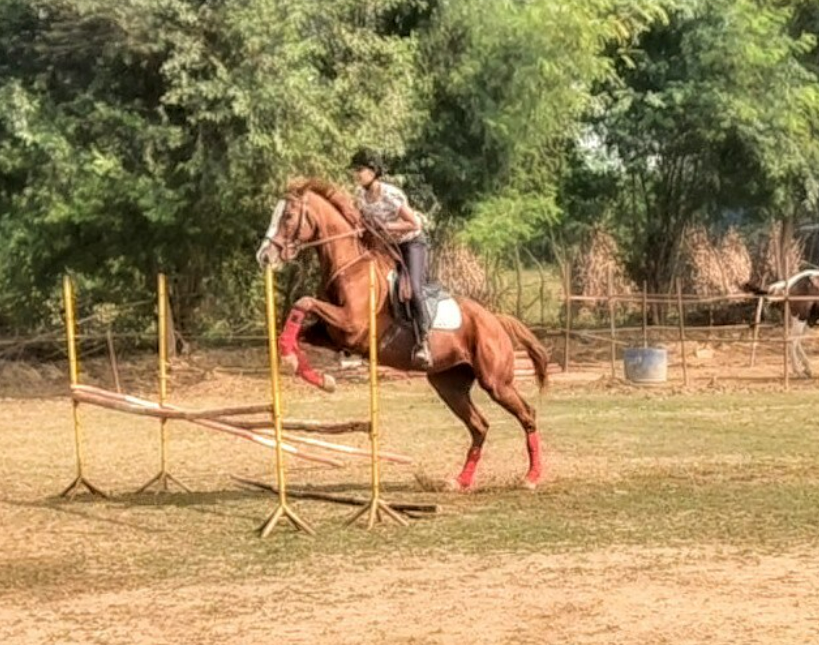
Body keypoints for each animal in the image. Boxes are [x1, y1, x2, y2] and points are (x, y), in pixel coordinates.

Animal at [255, 178, 550, 490]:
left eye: (288, 216)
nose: (264, 256)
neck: (351, 267)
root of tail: (495, 320)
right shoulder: (332, 335)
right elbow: (298, 326)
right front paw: (317, 376)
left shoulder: (351, 326)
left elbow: (304, 302)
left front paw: (304, 368)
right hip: (449, 384)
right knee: (479, 426)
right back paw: (461, 480)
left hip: (496, 382)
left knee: (527, 415)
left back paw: (531, 477)